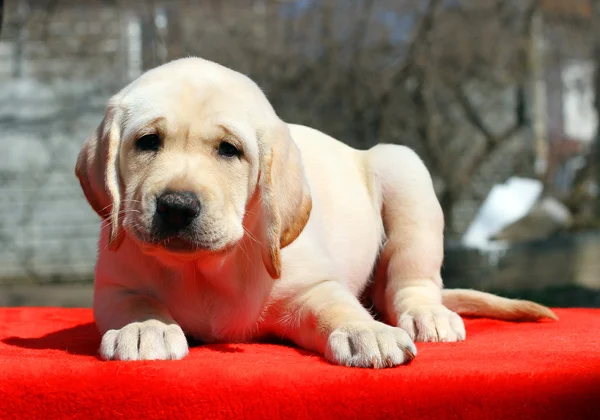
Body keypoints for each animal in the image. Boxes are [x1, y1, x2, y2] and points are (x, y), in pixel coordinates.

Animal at [76, 56, 556, 368]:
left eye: (229, 150)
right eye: (147, 142)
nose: (176, 207)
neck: (204, 269)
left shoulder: (310, 287)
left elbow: (337, 306)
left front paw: (368, 334)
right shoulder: (114, 286)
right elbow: (137, 300)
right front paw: (145, 328)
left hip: (405, 171)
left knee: (413, 280)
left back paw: (425, 315)